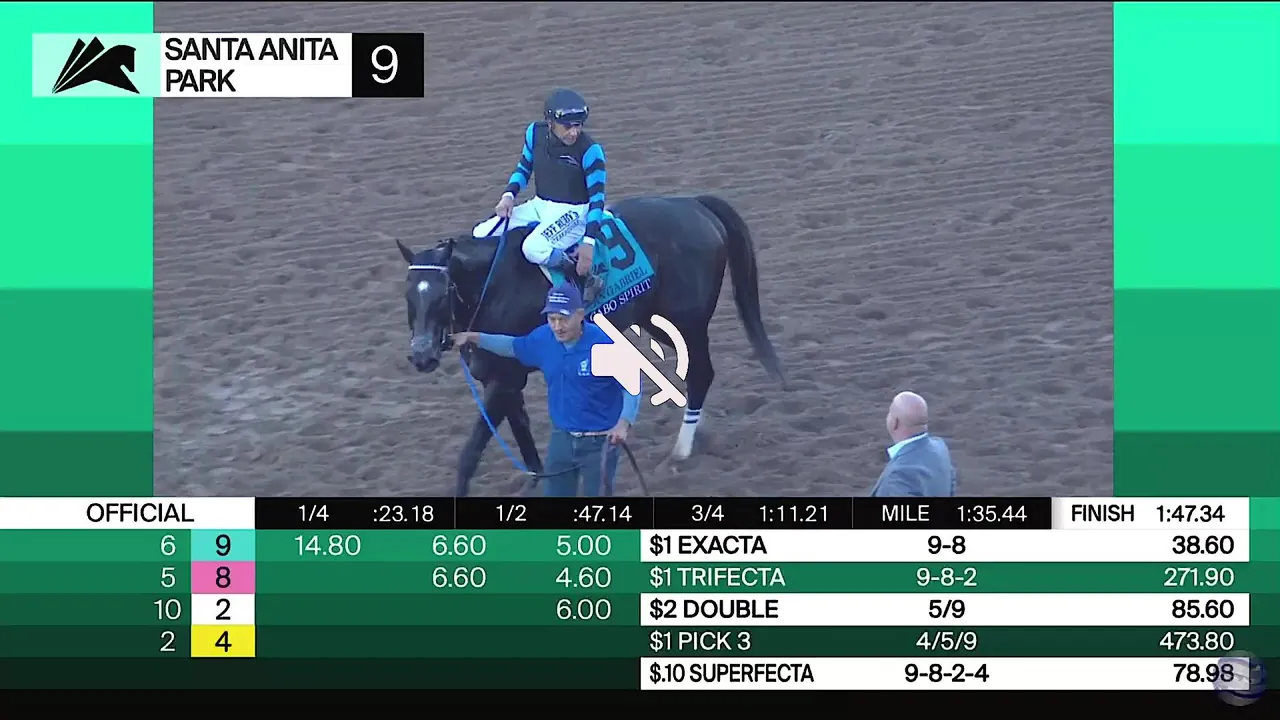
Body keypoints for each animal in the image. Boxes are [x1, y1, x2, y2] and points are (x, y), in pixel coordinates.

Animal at [397, 194, 787, 496]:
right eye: (408, 294)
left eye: (441, 294)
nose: (421, 356)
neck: (493, 285)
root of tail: (694, 204)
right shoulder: (503, 374)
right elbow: (521, 431)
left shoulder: (506, 377)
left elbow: (471, 451)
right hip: (657, 321)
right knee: (696, 373)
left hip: (684, 321)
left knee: (701, 373)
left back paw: (679, 452)